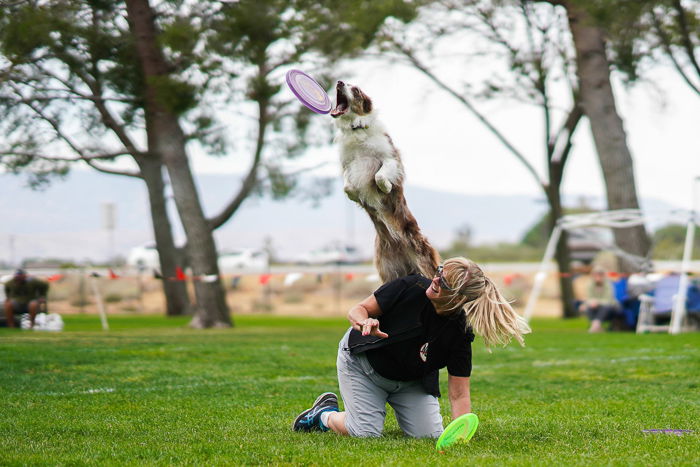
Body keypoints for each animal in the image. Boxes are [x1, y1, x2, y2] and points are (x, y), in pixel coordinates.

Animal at [330, 81, 440, 284]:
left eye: (355, 90)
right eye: (345, 83)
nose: (339, 83)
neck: (355, 128)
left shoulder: (390, 158)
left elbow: (379, 176)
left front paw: (386, 187)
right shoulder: (348, 165)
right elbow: (347, 186)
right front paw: (356, 197)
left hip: (424, 263)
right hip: (388, 271)